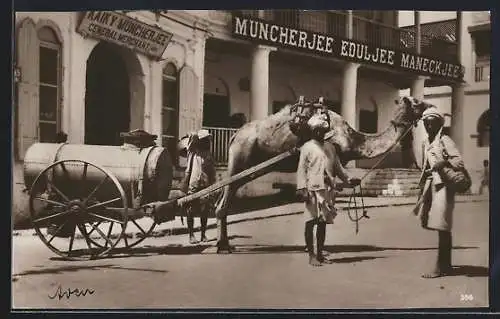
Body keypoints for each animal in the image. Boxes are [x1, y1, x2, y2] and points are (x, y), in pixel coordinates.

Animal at [178, 95, 428, 252]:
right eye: (417, 102)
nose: (430, 106)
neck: (351, 138)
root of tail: (235, 135)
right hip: (240, 158)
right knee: (223, 203)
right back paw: (223, 246)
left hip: (245, 170)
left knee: (224, 199)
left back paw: (224, 243)